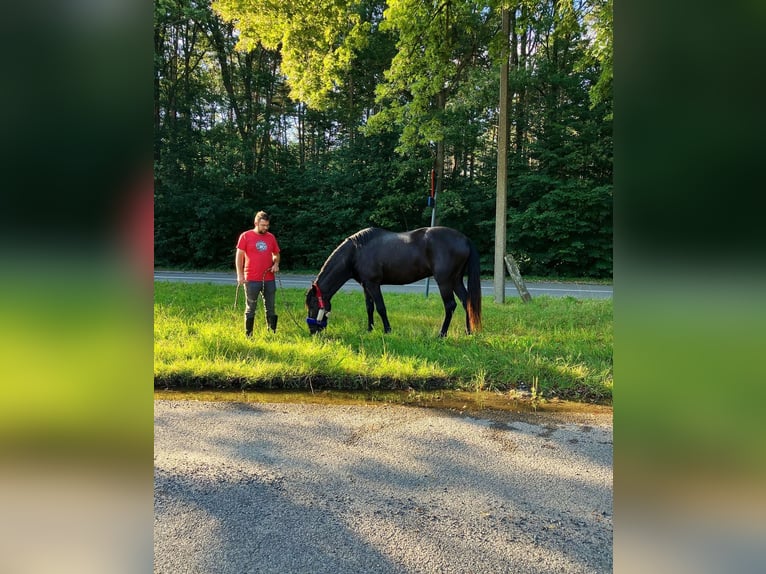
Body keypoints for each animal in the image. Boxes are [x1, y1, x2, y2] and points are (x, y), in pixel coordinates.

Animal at [304, 227, 480, 338]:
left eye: (313, 305)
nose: (312, 330)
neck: (356, 251)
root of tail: (465, 239)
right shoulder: (365, 286)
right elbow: (369, 308)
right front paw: (369, 329)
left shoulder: (374, 284)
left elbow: (381, 308)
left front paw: (387, 330)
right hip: (455, 280)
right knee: (466, 301)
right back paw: (468, 332)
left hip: (444, 281)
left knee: (450, 305)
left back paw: (442, 334)